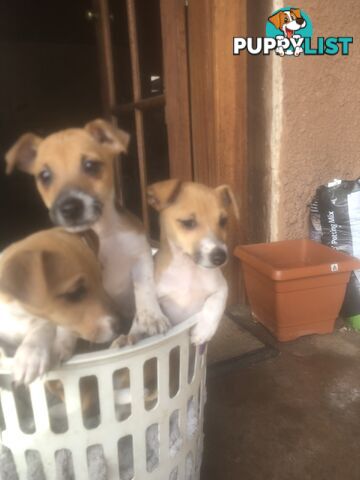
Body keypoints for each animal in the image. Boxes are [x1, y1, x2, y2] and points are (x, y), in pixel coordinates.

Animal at [0, 228, 122, 382]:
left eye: (101, 280)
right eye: (75, 293)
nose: (123, 324)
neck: (18, 315)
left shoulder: (47, 321)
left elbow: (41, 328)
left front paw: (29, 356)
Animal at [5, 119, 169, 338]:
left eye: (90, 166)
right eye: (45, 176)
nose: (69, 208)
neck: (103, 232)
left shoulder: (140, 256)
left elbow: (144, 288)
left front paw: (152, 317)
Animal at [146, 180, 239, 344]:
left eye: (223, 221)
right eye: (188, 223)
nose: (220, 257)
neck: (188, 269)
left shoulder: (222, 287)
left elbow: (215, 304)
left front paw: (203, 331)